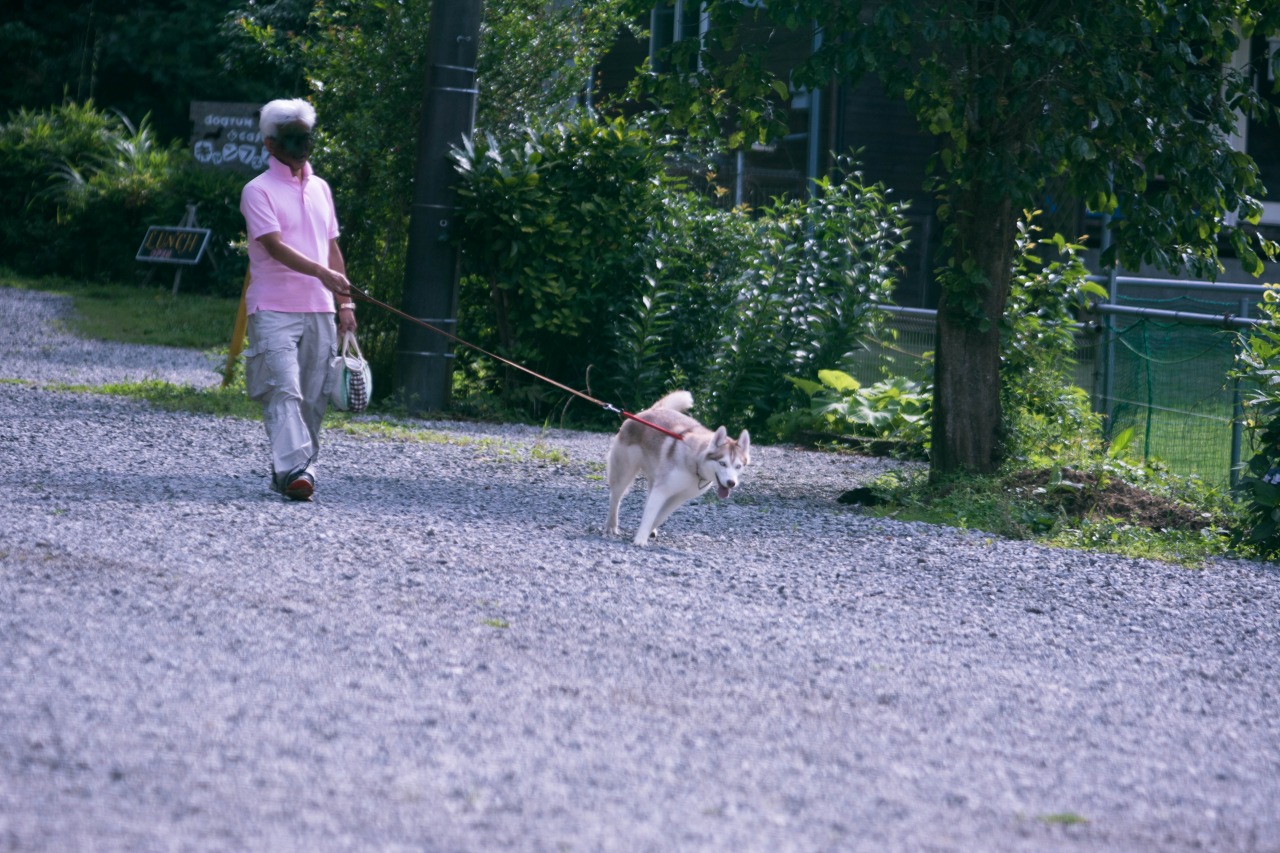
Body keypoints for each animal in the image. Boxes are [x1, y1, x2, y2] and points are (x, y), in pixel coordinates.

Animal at [601, 391, 747, 545]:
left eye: (738, 466)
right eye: (722, 463)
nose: (731, 483)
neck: (695, 464)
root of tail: (651, 410)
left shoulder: (678, 497)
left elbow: (658, 516)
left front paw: (647, 531)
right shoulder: (662, 490)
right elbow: (650, 515)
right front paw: (640, 539)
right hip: (623, 473)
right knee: (615, 498)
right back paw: (611, 526)